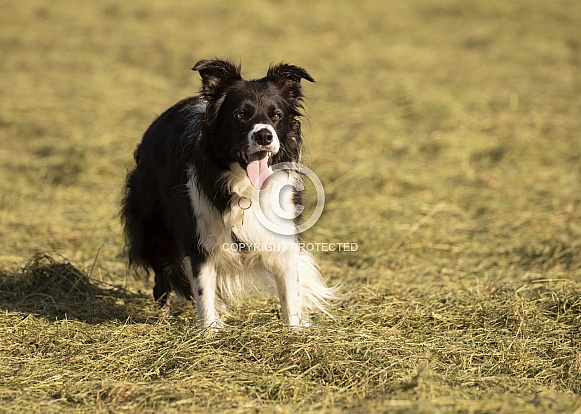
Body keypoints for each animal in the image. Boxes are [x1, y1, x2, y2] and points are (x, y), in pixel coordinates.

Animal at [123, 59, 340, 328]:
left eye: (276, 115)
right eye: (239, 115)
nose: (264, 135)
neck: (245, 184)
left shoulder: (283, 238)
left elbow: (290, 294)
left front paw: (294, 331)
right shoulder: (200, 239)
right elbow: (203, 292)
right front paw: (209, 332)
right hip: (153, 226)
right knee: (163, 273)